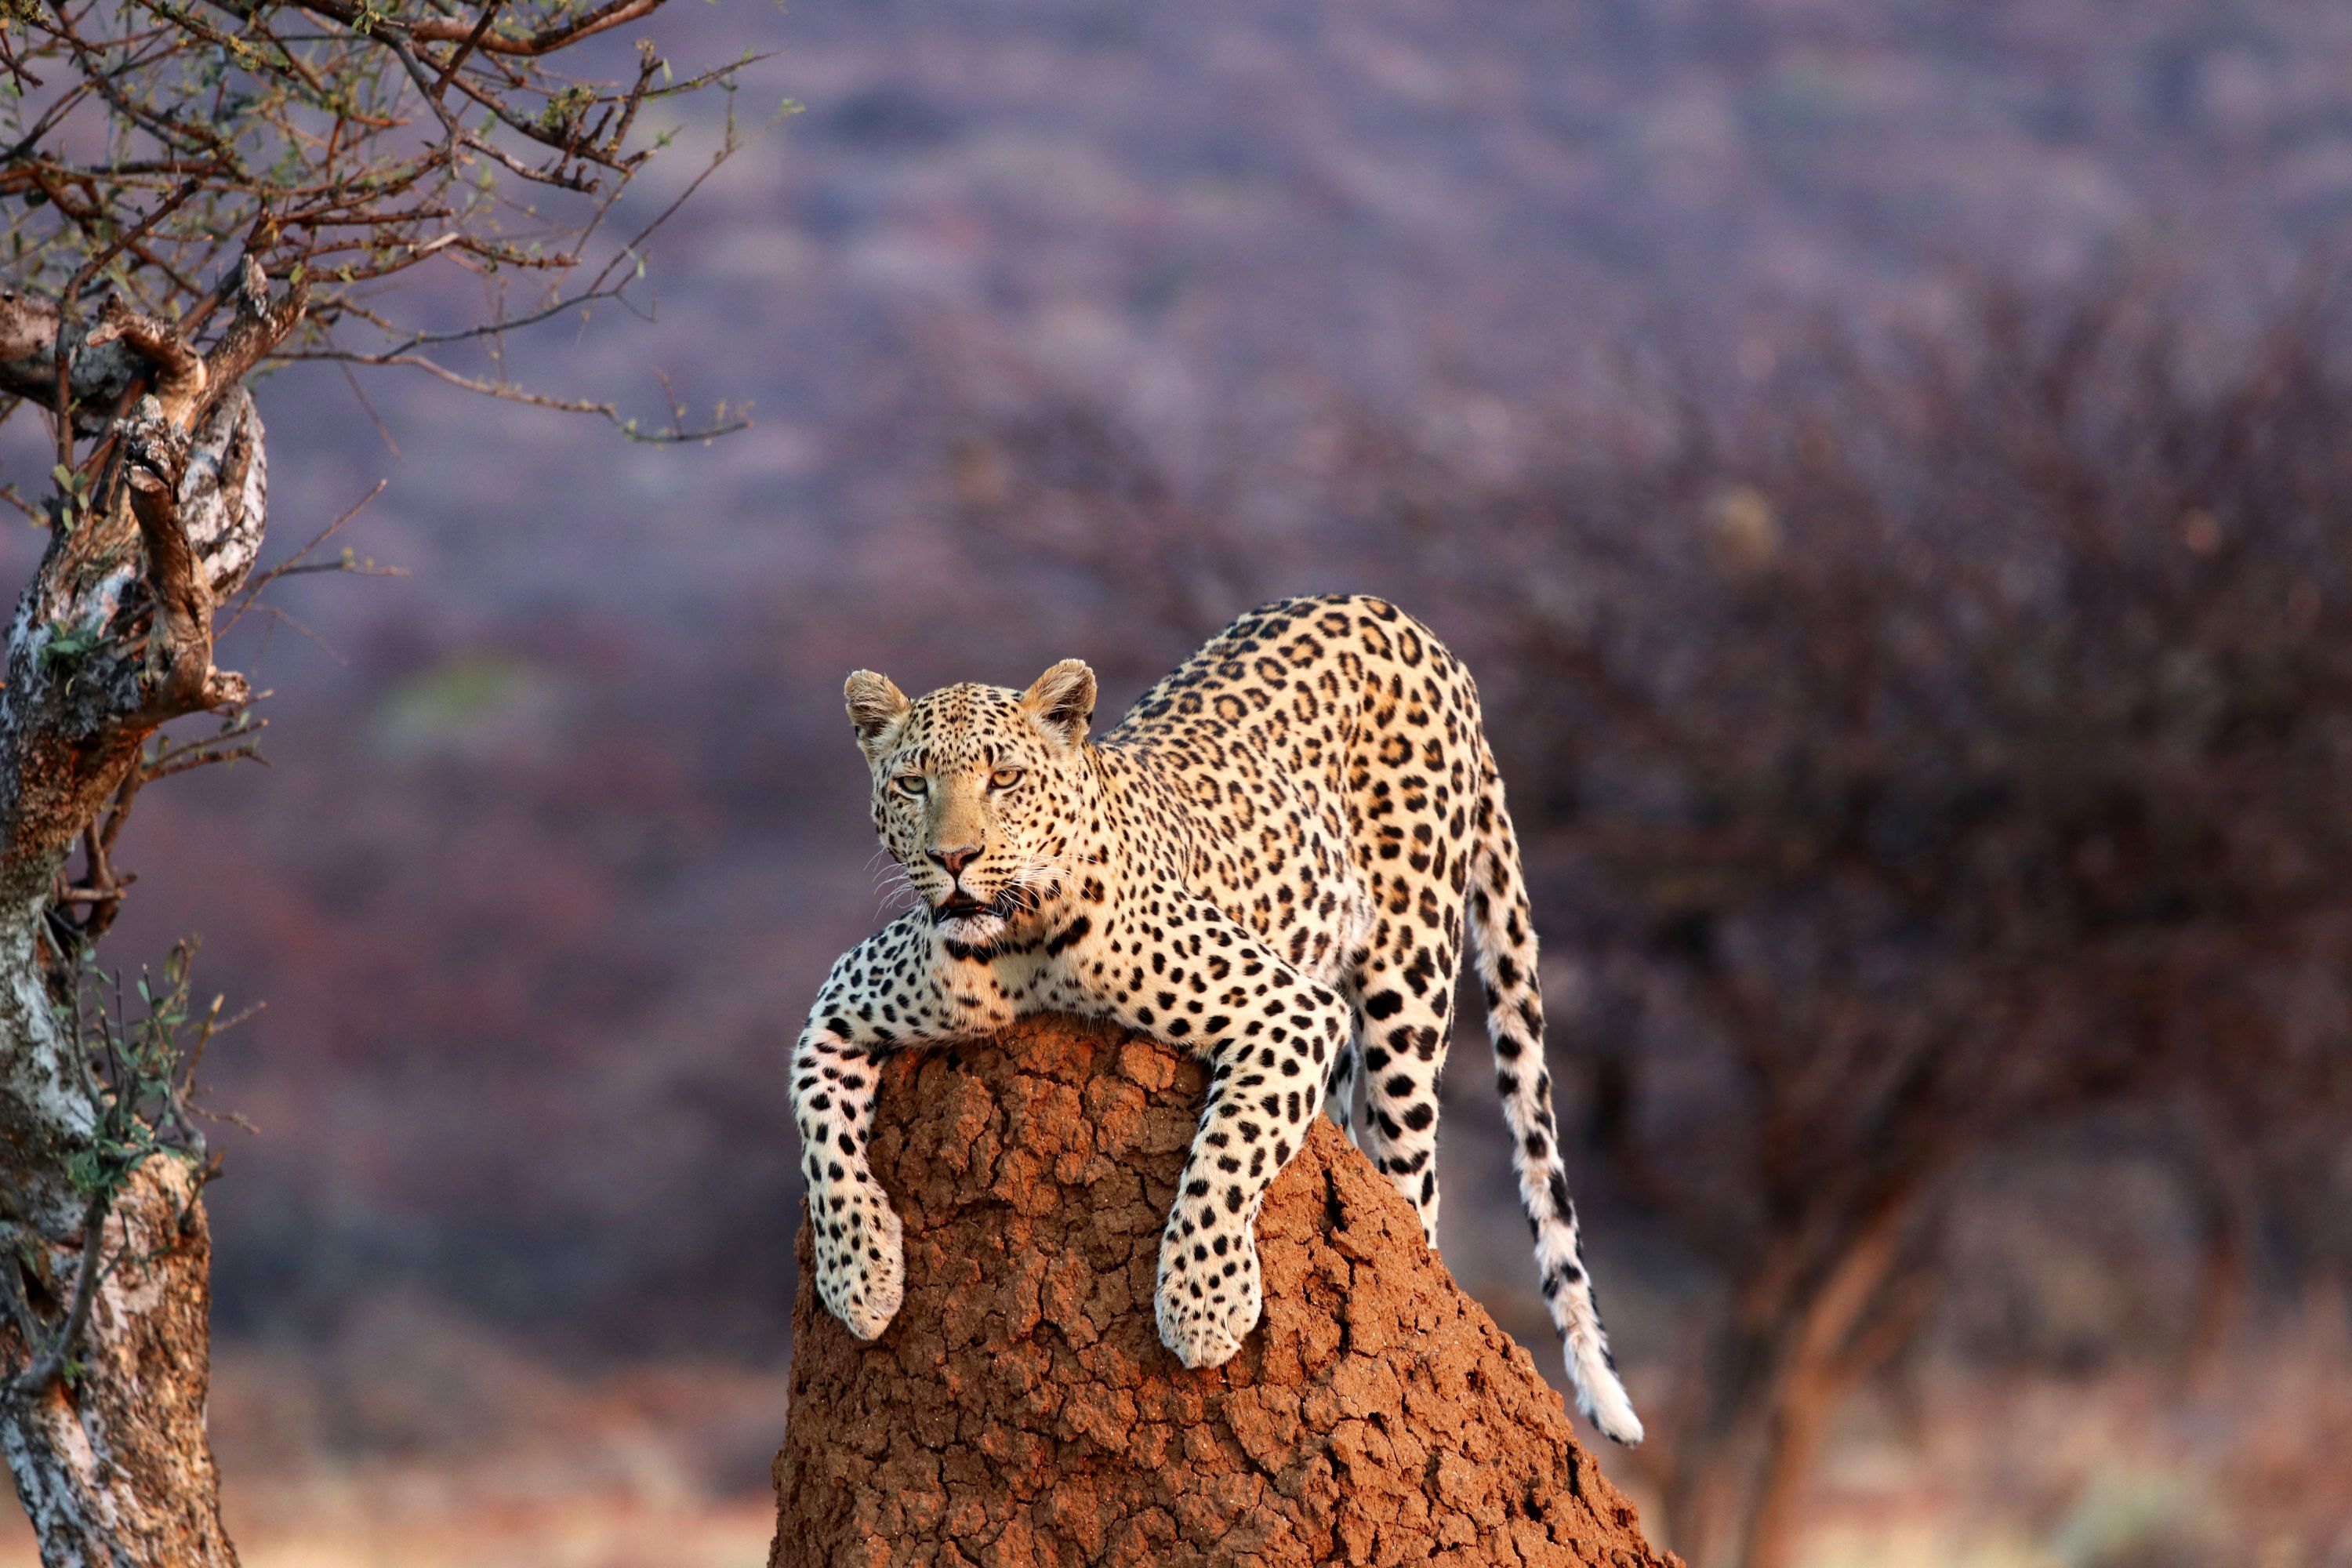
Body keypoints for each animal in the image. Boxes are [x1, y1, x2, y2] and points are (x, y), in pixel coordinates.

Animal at [789, 593, 1643, 1444]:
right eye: (910, 783)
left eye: (1005, 778)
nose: (955, 858)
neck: (1021, 938)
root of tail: (1399, 617)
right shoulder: (836, 1005)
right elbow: (820, 1137)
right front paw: (860, 1277)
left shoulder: (1291, 1010)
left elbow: (1229, 1148)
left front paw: (1203, 1306)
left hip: (1411, 971)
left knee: (1414, 1181)